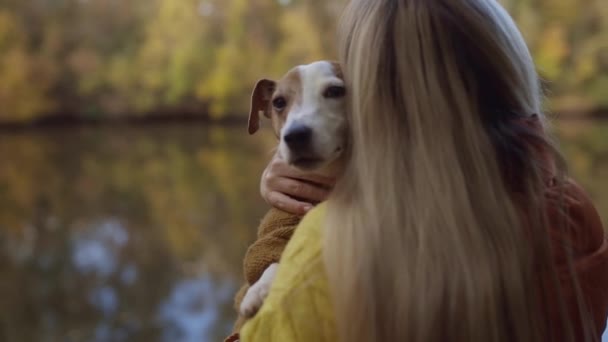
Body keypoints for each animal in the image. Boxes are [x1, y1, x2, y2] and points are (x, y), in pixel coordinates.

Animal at [230, 61, 350, 340]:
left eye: (336, 91)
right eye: (278, 102)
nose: (295, 135)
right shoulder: (280, 227)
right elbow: (273, 259)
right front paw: (257, 291)